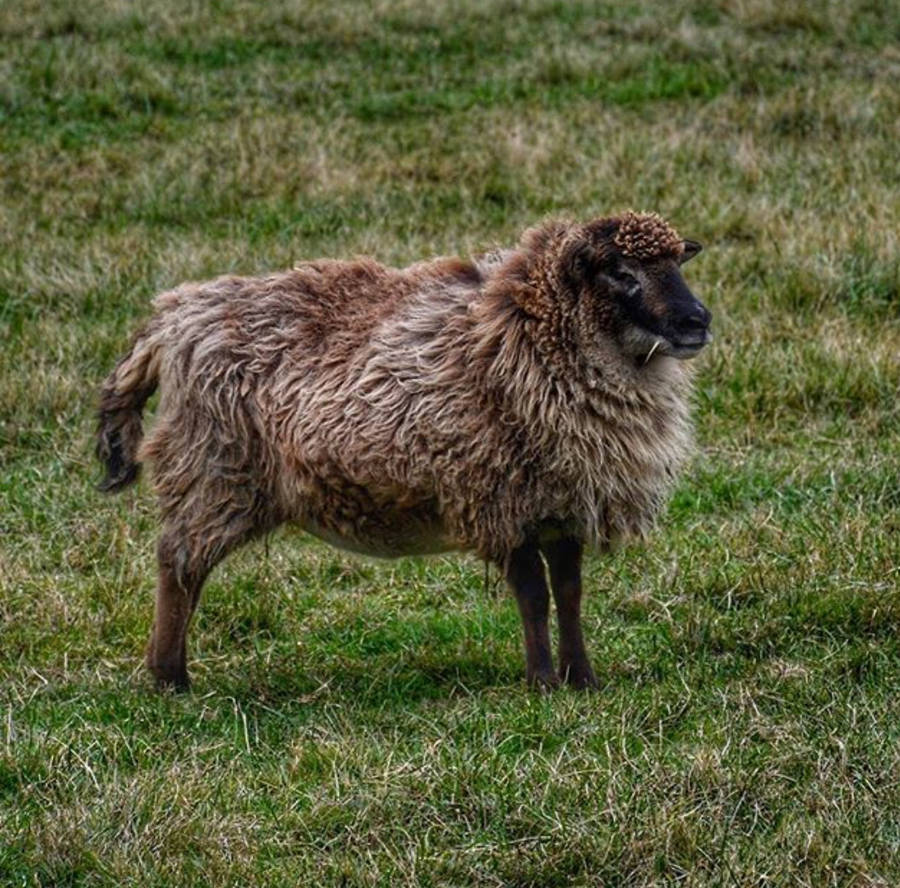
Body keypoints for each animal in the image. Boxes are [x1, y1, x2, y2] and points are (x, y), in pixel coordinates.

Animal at [97, 210, 711, 692]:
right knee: (178, 564)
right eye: (622, 274)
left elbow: (570, 592)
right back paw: (170, 677)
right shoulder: (495, 496)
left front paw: (582, 680)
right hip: (214, 468)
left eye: (678, 266)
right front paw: (542, 684)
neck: (520, 334)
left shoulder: (562, 503)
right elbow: (534, 595)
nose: (698, 321)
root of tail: (172, 317)